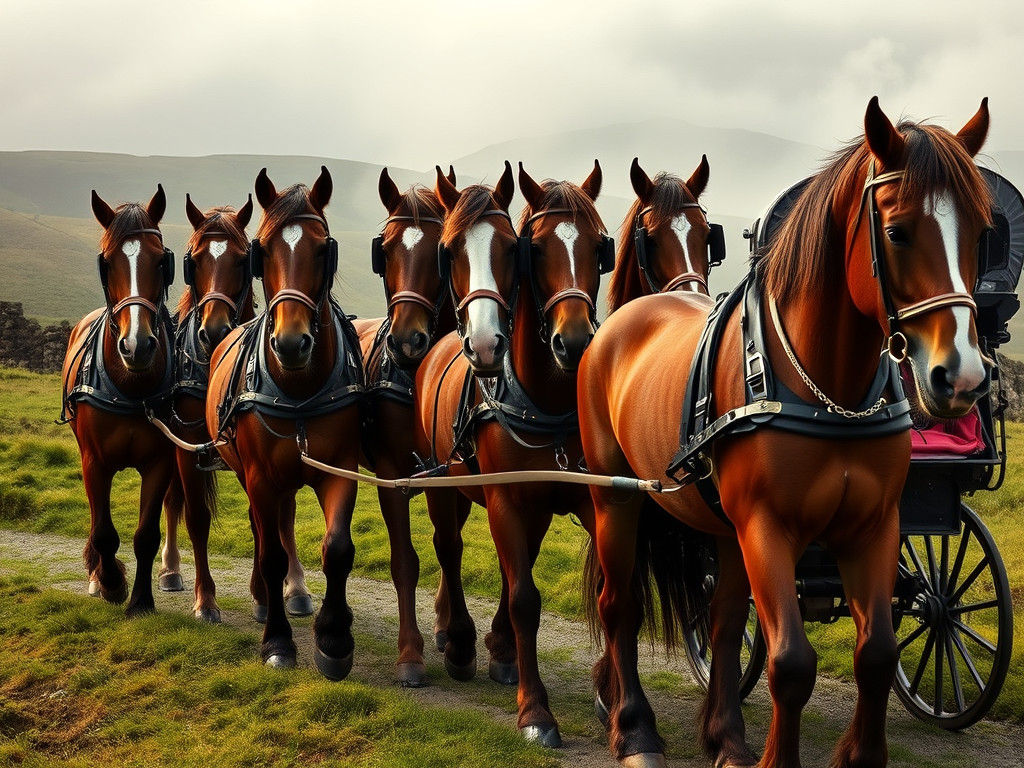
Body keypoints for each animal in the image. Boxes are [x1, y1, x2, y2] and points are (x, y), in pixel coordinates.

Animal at [61, 185, 177, 617]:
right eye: (106, 263)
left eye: (161, 261)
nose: (137, 345)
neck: (131, 386)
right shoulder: (95, 462)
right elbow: (104, 532)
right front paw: (111, 583)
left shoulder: (160, 462)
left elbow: (145, 535)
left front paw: (141, 600)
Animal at [205, 166, 365, 676]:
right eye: (263, 250)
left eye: (322, 249)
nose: (292, 343)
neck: (299, 387)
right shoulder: (259, 476)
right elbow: (272, 552)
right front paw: (277, 639)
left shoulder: (342, 469)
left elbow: (337, 548)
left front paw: (334, 639)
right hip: (249, 472)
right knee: (265, 532)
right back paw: (264, 599)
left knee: (284, 521)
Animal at [415, 160, 610, 747]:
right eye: (537, 249)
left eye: (599, 246)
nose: (574, 342)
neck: (546, 401)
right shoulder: (503, 498)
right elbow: (525, 598)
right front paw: (535, 711)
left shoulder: (584, 500)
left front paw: (613, 698)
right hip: (446, 484)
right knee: (450, 546)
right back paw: (457, 640)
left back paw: (500, 650)